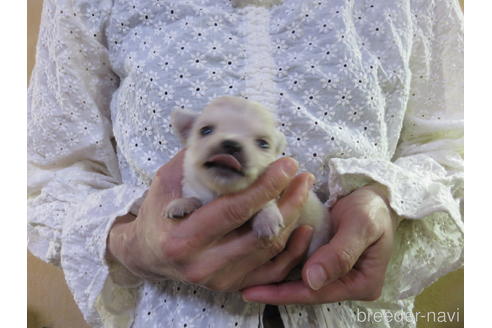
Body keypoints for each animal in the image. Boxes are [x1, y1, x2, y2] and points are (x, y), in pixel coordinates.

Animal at [166, 96, 330, 255]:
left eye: (263, 144)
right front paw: (181, 204)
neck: (219, 192)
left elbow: (267, 203)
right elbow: (195, 198)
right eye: (205, 131)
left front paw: (267, 220)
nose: (232, 144)